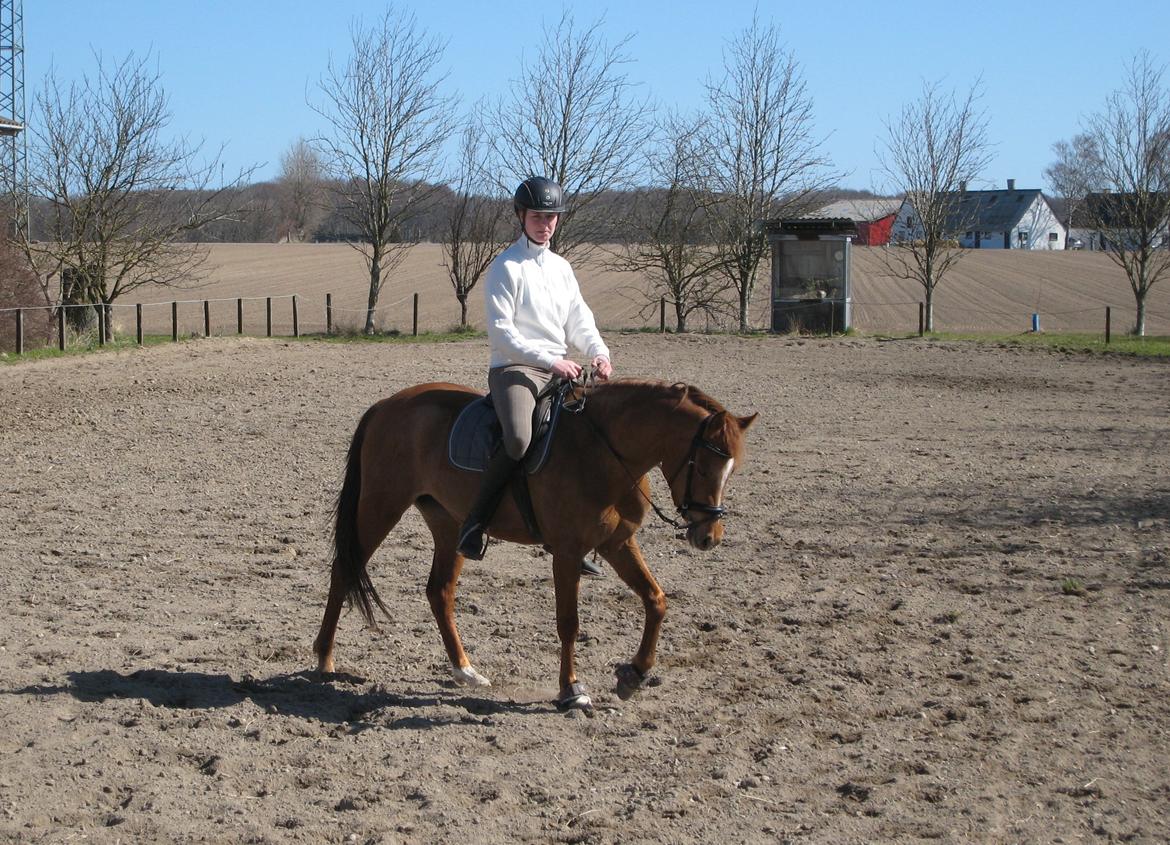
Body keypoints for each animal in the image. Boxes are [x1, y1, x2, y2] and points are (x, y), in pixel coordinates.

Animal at [313, 374, 758, 702]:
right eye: (703, 466)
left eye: (733, 469)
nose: (709, 536)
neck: (603, 453)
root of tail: (387, 405)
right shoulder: (566, 552)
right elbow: (569, 623)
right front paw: (572, 689)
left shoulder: (618, 544)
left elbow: (656, 600)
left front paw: (636, 672)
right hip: (381, 506)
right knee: (343, 570)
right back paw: (324, 659)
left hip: (448, 522)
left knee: (439, 591)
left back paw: (465, 670)